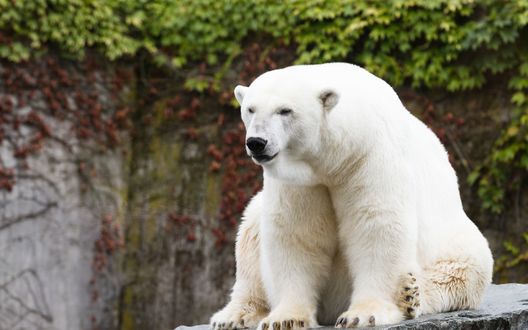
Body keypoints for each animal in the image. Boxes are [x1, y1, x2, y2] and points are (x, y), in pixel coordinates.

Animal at [210, 62, 496, 328]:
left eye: (285, 110)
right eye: (250, 109)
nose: (257, 142)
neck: (335, 157)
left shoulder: (369, 155)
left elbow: (376, 224)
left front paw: (364, 314)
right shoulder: (301, 182)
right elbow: (297, 232)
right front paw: (285, 319)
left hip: (456, 243)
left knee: (460, 272)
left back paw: (410, 295)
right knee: (250, 231)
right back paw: (232, 315)